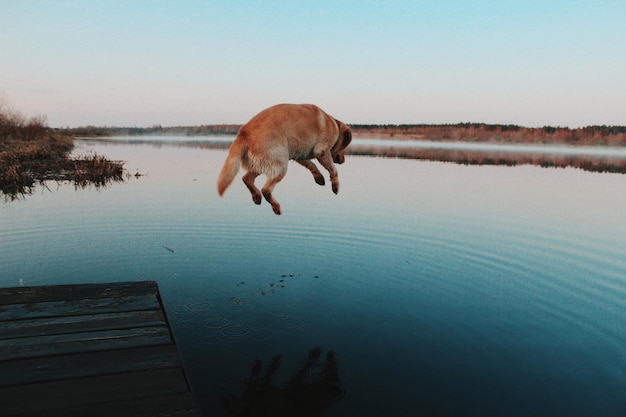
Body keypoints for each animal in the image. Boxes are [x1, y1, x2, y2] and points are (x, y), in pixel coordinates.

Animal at [217, 103, 348, 214]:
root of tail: (243, 134)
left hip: (263, 164)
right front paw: (335, 186)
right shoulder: (321, 151)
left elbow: (312, 165)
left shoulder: (299, 155)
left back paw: (256, 196)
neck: (333, 124)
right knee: (266, 190)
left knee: (246, 178)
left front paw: (319, 177)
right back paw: (276, 207)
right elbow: (333, 169)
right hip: (280, 165)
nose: (343, 160)